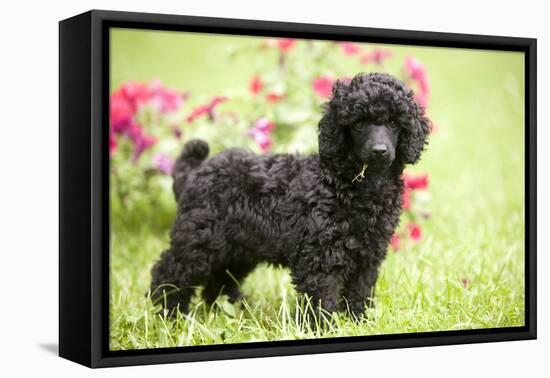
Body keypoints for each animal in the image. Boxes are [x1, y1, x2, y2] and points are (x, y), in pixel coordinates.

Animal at [151, 72, 432, 318]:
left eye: (394, 123)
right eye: (359, 123)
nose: (379, 151)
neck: (354, 184)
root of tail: (196, 171)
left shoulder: (369, 254)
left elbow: (359, 292)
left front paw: (358, 320)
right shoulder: (320, 255)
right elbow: (322, 297)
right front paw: (324, 326)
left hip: (237, 248)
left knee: (220, 280)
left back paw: (229, 311)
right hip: (199, 239)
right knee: (170, 271)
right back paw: (169, 314)